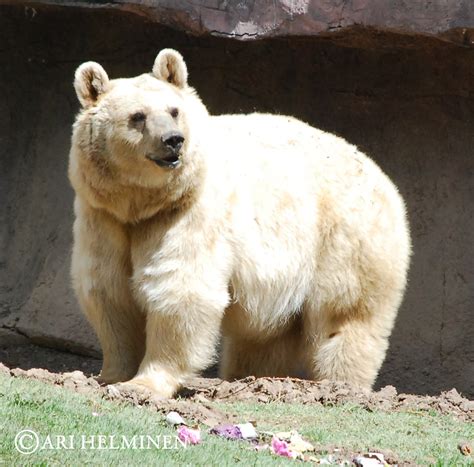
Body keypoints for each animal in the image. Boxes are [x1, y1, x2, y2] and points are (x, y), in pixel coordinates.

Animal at [69, 48, 412, 398]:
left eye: (174, 111)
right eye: (137, 116)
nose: (173, 140)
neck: (142, 203)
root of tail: (383, 179)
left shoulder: (187, 213)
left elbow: (180, 288)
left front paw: (144, 383)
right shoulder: (103, 217)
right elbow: (109, 291)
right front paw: (108, 375)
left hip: (344, 237)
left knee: (345, 314)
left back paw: (340, 385)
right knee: (266, 335)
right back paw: (249, 377)